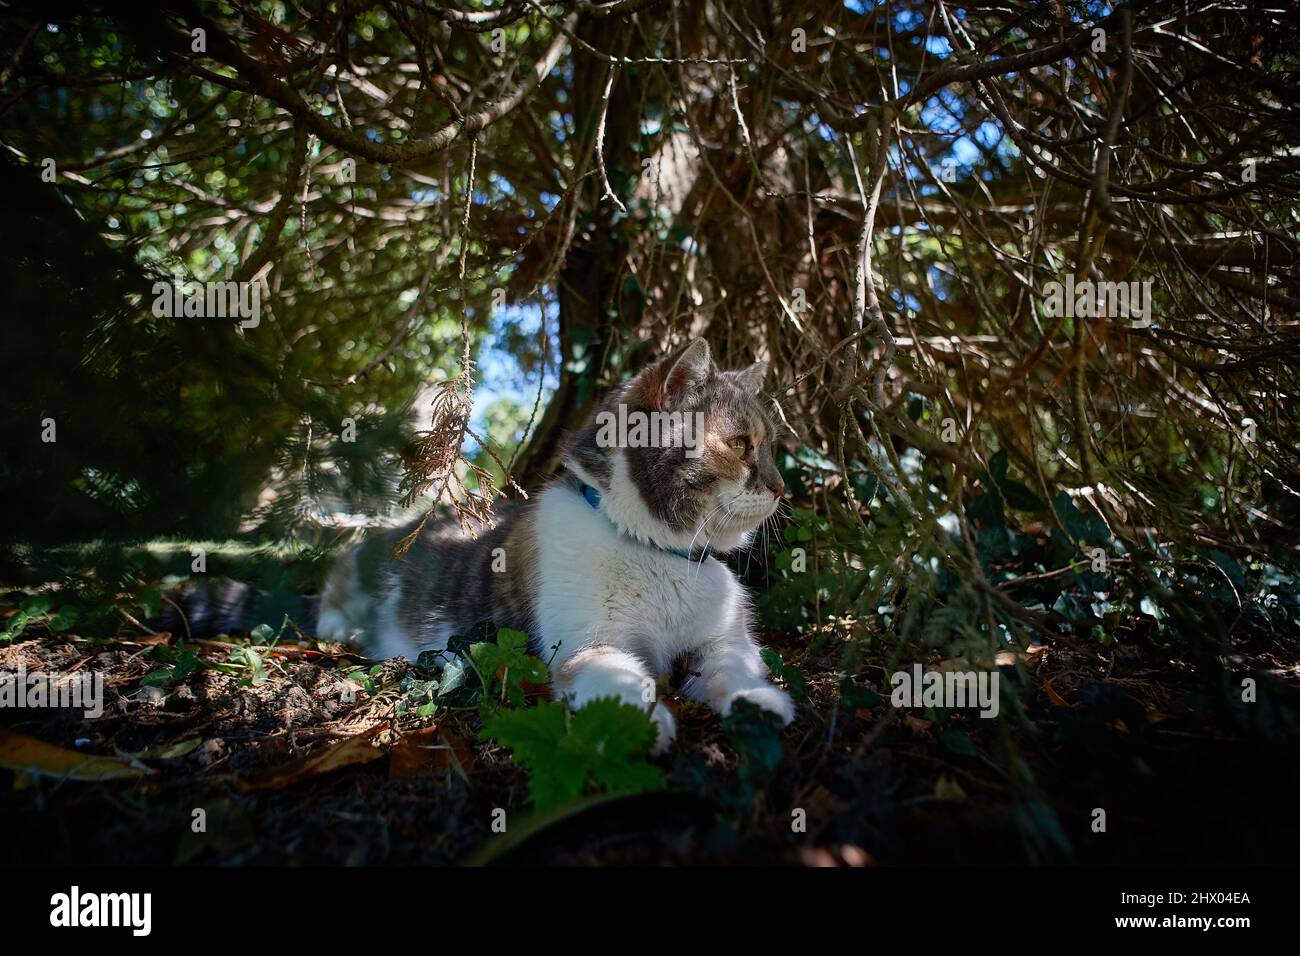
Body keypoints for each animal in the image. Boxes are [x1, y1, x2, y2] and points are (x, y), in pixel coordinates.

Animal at [319, 340, 795, 749]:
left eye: (770, 447)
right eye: (738, 444)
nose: (780, 487)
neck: (657, 551)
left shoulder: (724, 641)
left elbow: (733, 669)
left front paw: (759, 703)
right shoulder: (588, 645)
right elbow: (620, 684)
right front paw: (632, 730)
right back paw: (340, 629)